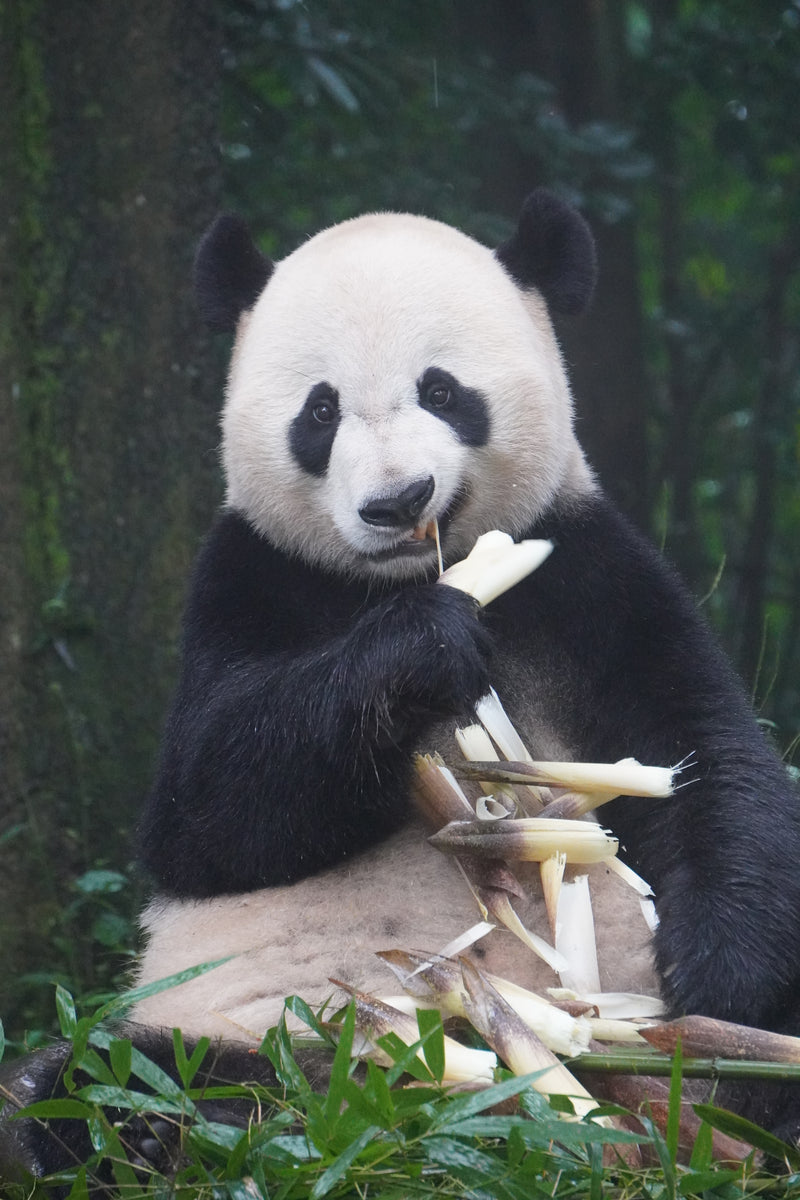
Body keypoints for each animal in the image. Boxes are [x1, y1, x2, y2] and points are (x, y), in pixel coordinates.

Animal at [3, 190, 800, 1185]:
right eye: (320, 410)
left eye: (444, 391)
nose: (397, 501)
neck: (411, 574)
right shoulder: (245, 581)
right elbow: (207, 818)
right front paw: (423, 651)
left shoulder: (591, 575)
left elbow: (706, 757)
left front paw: (718, 982)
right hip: (273, 1026)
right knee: (105, 1075)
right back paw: (151, 1126)